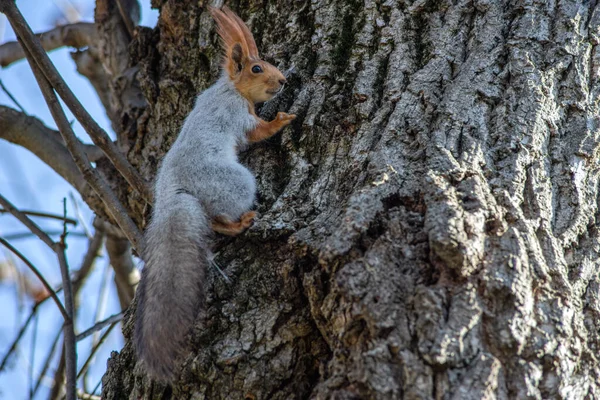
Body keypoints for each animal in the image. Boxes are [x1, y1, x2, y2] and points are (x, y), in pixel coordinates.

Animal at [135, 5, 296, 382]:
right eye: (256, 68)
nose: (283, 81)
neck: (230, 89)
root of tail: (173, 197)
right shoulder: (236, 116)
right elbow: (259, 132)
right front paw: (284, 118)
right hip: (233, 183)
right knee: (221, 217)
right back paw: (242, 222)